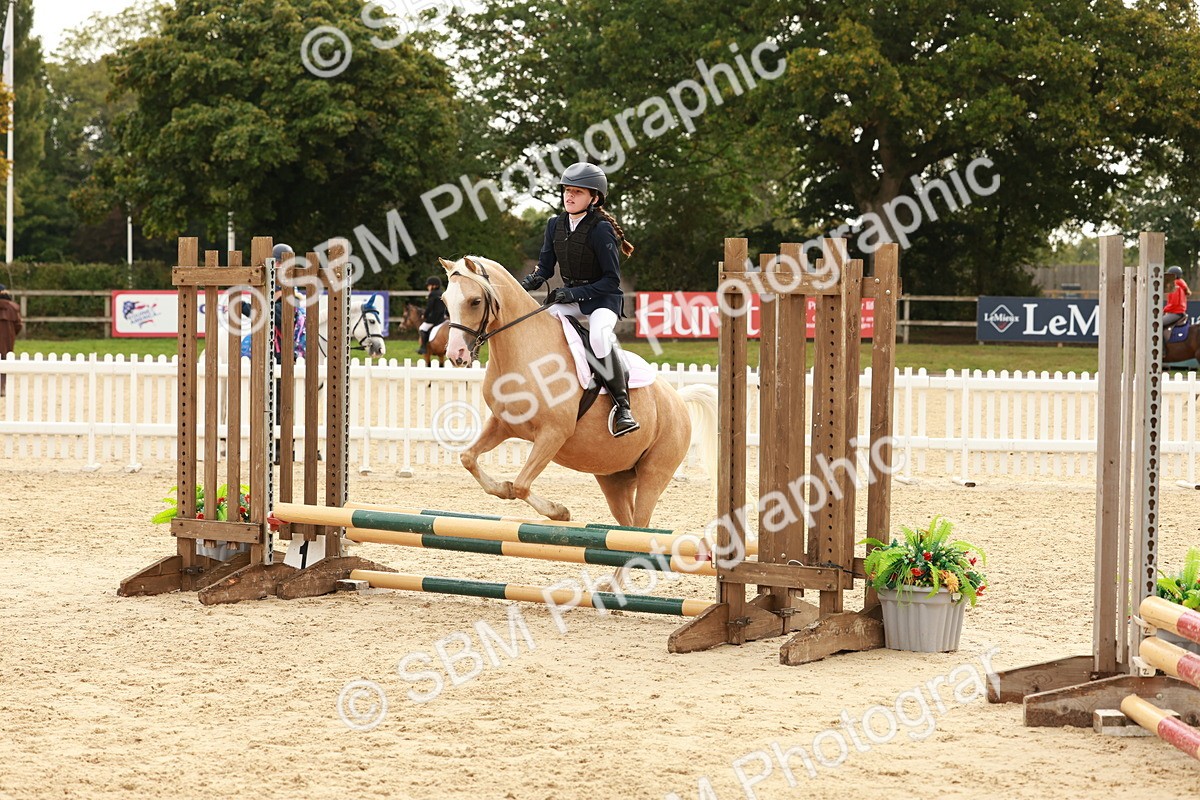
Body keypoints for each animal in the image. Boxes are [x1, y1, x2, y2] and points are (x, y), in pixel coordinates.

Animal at [437, 255, 718, 527]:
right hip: (615, 478)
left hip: (654, 474)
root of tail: (678, 400)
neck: (525, 349)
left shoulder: (553, 434)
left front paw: (559, 512)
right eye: (445, 300)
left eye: (475, 301)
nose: (456, 355)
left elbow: (522, 485)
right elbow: (468, 458)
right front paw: (502, 488)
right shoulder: (503, 425)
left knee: (640, 523)